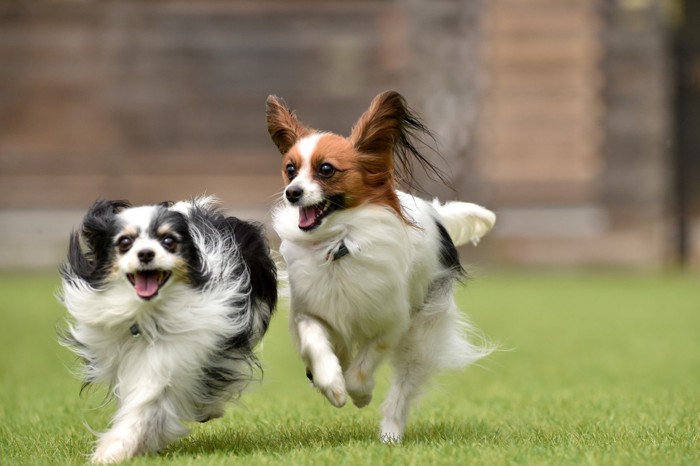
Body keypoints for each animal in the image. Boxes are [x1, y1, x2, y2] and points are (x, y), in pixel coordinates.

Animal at [57, 196, 276, 462]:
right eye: (125, 242)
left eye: (169, 241)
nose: (145, 253)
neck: (148, 313)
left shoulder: (178, 352)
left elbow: (149, 400)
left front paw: (114, 451)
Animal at [266, 90, 494, 440]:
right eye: (290, 169)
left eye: (326, 169)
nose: (292, 193)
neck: (340, 242)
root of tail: (437, 214)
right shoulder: (311, 313)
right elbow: (318, 346)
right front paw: (331, 384)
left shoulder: (391, 323)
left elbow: (362, 369)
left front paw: (359, 394)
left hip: (421, 337)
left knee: (403, 387)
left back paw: (390, 433)